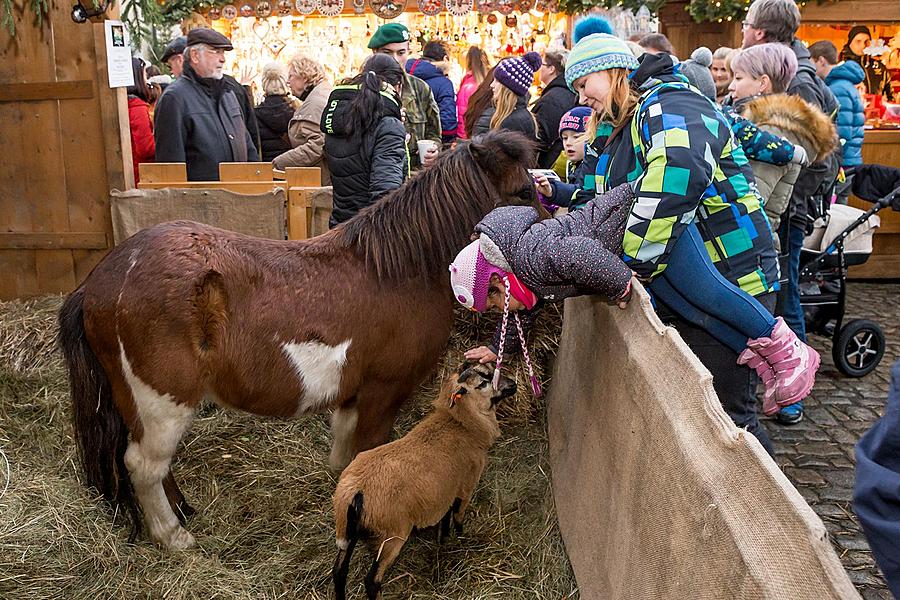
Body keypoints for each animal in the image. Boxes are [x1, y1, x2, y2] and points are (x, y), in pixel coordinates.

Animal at [59, 130, 536, 548]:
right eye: (523, 192)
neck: (398, 272)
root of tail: (101, 280)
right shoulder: (383, 393)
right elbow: (372, 452)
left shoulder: (353, 395)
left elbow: (346, 456)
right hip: (162, 403)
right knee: (143, 465)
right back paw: (173, 536)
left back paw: (183, 511)